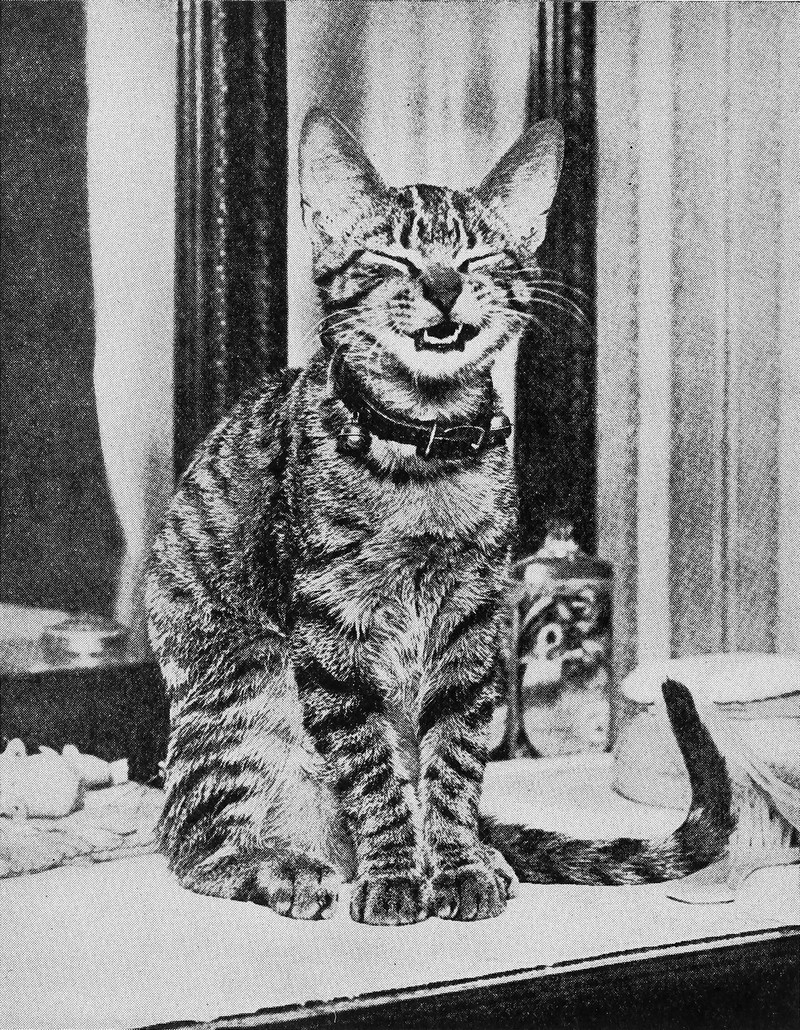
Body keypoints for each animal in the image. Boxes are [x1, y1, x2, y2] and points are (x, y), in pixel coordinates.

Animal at [146, 109, 735, 924]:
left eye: (477, 255)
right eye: (392, 255)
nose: (445, 287)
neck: (423, 453)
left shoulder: (472, 628)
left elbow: (450, 769)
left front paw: (454, 866)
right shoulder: (331, 635)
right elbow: (372, 773)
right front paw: (397, 874)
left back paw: (478, 854)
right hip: (250, 687)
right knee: (195, 839)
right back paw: (285, 866)